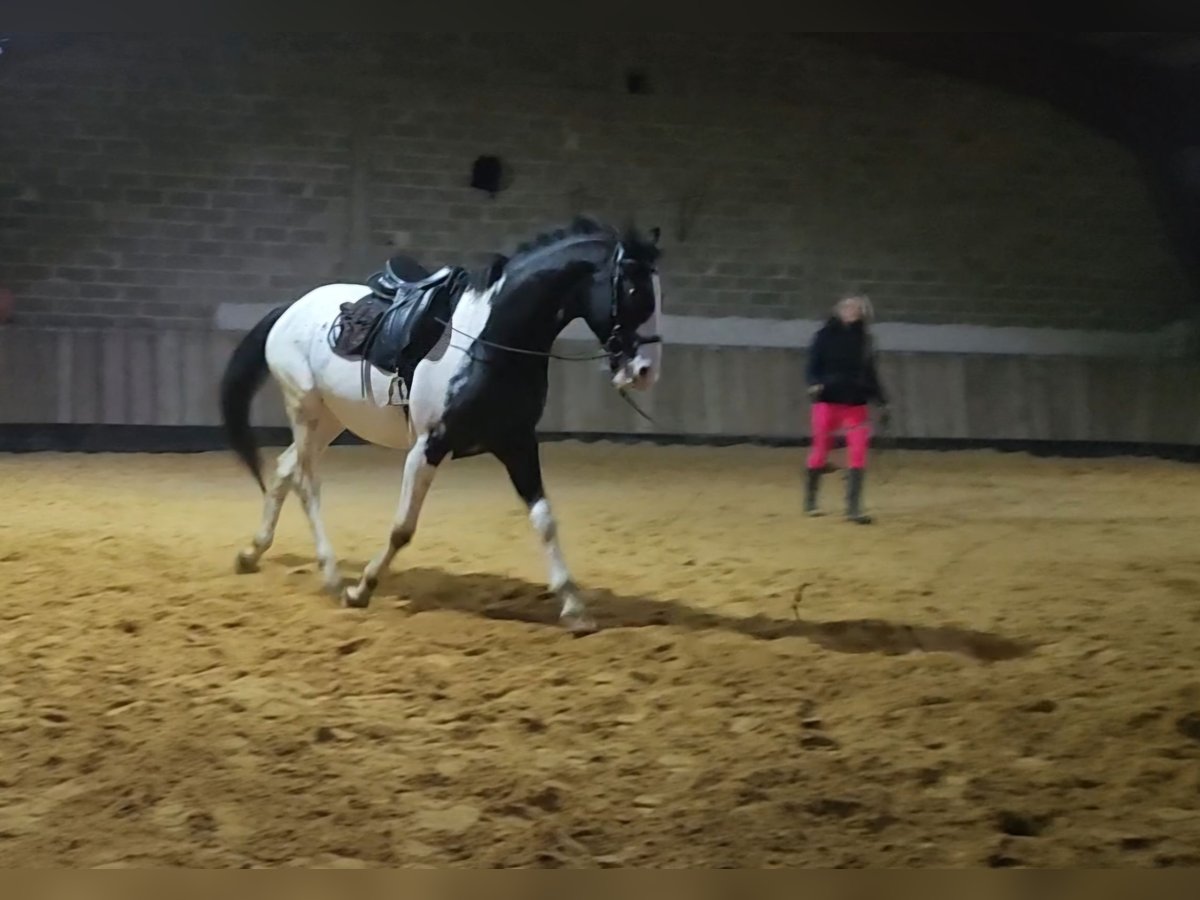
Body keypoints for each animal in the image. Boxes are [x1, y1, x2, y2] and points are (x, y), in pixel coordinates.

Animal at [217, 216, 667, 638]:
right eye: (633, 292)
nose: (645, 373)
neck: (489, 341)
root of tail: (290, 309)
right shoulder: (428, 446)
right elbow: (402, 528)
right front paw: (362, 588)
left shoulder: (518, 444)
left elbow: (545, 520)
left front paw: (574, 607)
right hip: (305, 408)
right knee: (307, 482)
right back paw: (330, 575)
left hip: (330, 419)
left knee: (285, 469)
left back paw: (251, 553)